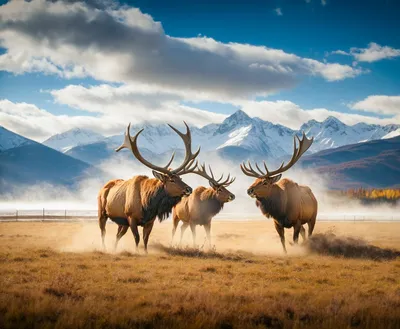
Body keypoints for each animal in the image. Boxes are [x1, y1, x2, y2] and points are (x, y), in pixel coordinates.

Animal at [98, 121, 200, 252]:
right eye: (172, 180)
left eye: (181, 178)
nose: (189, 189)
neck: (148, 205)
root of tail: (103, 187)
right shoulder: (131, 218)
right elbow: (137, 238)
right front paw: (137, 252)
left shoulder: (150, 221)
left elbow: (146, 239)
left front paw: (145, 252)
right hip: (102, 212)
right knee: (103, 232)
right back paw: (104, 248)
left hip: (122, 222)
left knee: (118, 235)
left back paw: (115, 249)